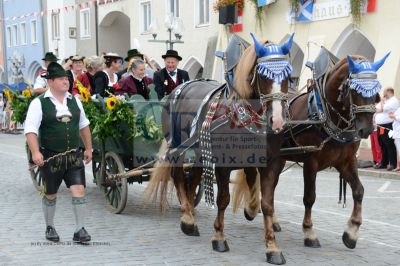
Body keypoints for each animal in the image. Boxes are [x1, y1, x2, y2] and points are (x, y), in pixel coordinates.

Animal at [144, 33, 294, 264]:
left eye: (288, 76)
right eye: (263, 75)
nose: (277, 121)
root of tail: (180, 88)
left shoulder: (269, 164)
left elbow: (267, 202)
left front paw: (272, 246)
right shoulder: (223, 163)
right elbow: (223, 199)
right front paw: (219, 237)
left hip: (197, 152)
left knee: (193, 180)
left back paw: (190, 214)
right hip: (178, 147)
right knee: (179, 177)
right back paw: (187, 218)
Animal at [233, 51, 390, 262]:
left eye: (375, 91)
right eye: (355, 89)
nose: (366, 129)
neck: (326, 115)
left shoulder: (347, 161)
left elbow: (359, 191)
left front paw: (351, 232)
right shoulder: (311, 162)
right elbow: (309, 197)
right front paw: (309, 233)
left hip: (280, 159)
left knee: (271, 188)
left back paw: (272, 221)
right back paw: (253, 209)